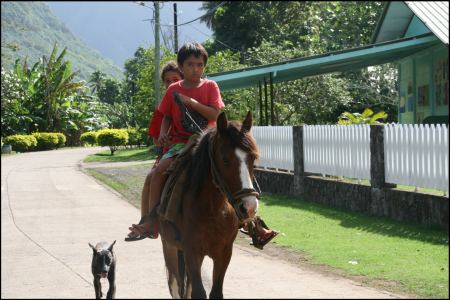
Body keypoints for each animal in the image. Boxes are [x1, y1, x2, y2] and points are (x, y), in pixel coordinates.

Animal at [160, 111, 262, 298]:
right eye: (225, 159)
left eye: (253, 158)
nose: (249, 207)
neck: (213, 209)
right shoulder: (191, 252)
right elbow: (198, 292)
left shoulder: (224, 253)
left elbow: (215, 292)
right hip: (169, 246)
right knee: (175, 285)